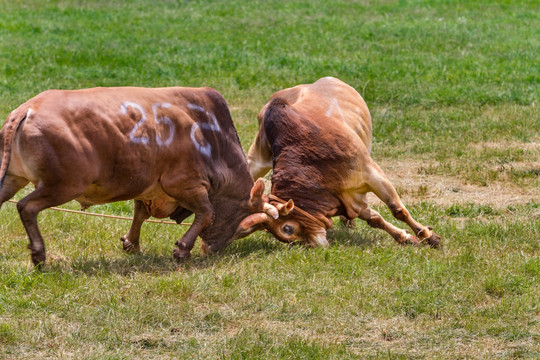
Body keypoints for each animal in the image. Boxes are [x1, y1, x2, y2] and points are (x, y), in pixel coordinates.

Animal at [0, 86, 276, 266]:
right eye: (242, 226)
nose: (211, 250)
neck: (212, 136)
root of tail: (27, 108)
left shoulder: (149, 187)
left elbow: (140, 214)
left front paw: (131, 243)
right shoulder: (185, 183)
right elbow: (207, 212)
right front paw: (182, 249)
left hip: (13, 177)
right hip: (63, 185)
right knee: (27, 207)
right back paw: (39, 254)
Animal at [245, 76, 442, 248]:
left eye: (287, 228)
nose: (316, 246)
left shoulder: (373, 174)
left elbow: (398, 210)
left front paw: (428, 236)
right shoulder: (351, 197)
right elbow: (374, 219)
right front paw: (405, 237)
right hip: (256, 161)